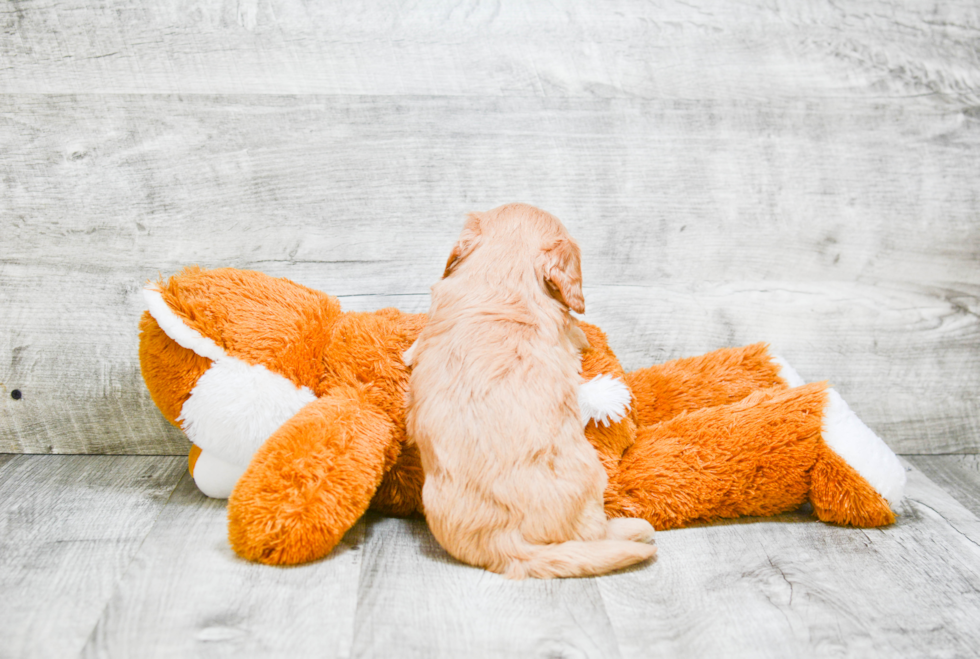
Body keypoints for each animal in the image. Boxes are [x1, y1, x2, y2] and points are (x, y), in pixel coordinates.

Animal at [402, 204, 656, 580]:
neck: (501, 275)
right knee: (593, 535)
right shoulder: (568, 333)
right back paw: (633, 530)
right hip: (591, 479)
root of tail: (505, 542)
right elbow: (579, 334)